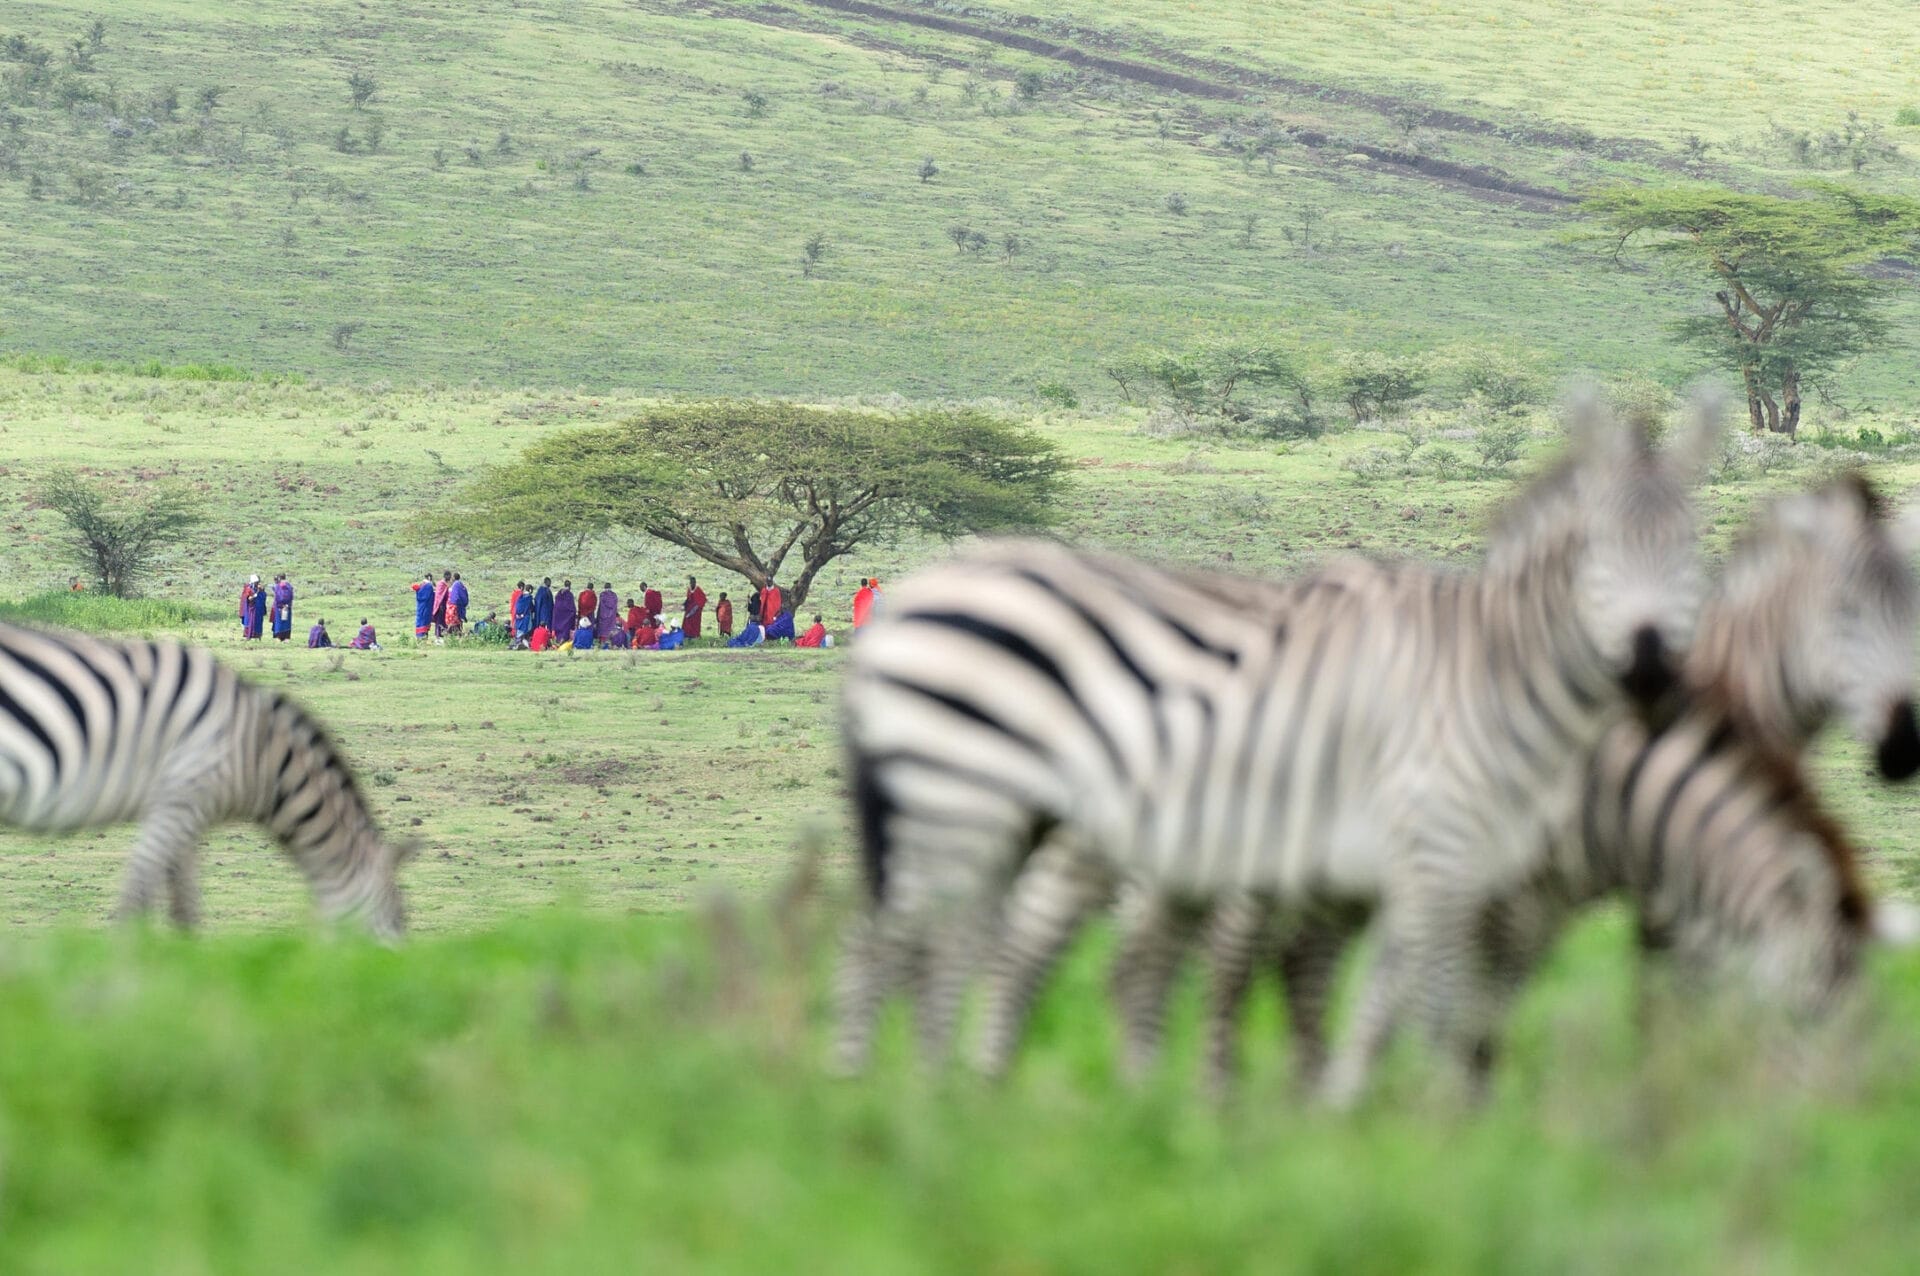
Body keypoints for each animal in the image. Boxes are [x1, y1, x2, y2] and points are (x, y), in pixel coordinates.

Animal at [0, 625, 412, 936]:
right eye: (395, 920)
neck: (258, 753)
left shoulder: (185, 812)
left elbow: (183, 902)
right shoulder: (182, 797)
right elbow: (139, 893)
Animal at [840, 395, 1728, 1074]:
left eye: (1693, 554)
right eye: (1596, 555)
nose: (1654, 671)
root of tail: (915, 605)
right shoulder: (1429, 849)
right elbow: (1423, 996)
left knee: (989, 944)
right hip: (966, 794)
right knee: (915, 943)